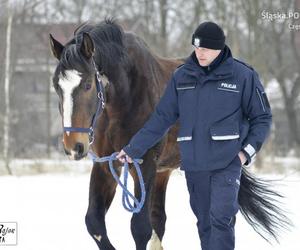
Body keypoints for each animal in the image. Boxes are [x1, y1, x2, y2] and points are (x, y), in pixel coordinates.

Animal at [49, 18, 290, 249]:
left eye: (88, 84)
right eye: (56, 86)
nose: (74, 146)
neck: (122, 100)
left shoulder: (143, 164)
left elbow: (140, 228)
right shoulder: (106, 166)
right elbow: (95, 223)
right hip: (162, 172)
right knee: (160, 220)